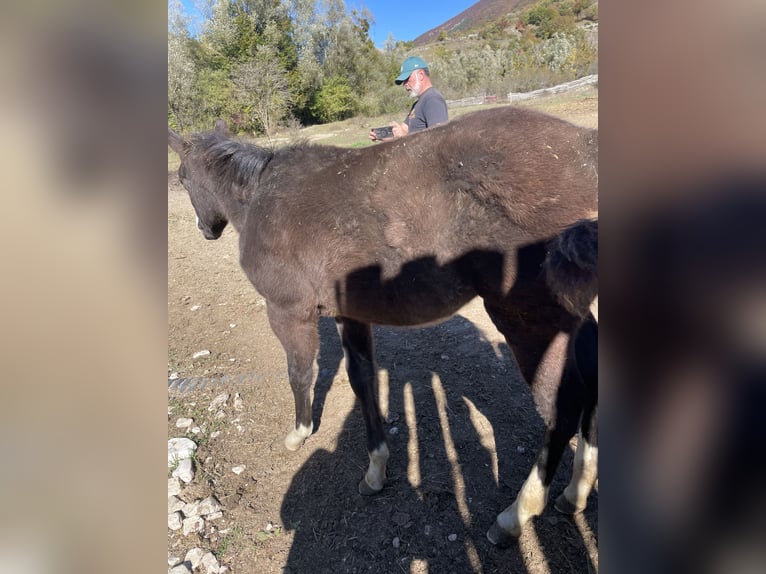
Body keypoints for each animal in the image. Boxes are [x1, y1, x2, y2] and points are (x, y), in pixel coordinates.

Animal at [167, 105, 599, 546]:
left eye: (182, 177)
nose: (205, 229)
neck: (259, 198)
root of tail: (585, 149)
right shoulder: (351, 314)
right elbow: (363, 381)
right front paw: (375, 469)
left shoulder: (288, 311)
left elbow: (300, 373)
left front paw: (299, 432)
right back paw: (575, 492)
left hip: (530, 321)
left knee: (562, 408)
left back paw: (515, 515)